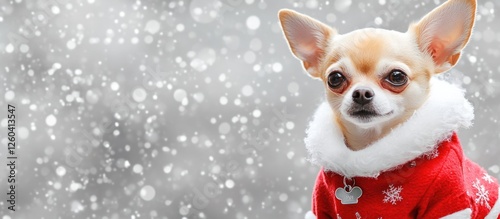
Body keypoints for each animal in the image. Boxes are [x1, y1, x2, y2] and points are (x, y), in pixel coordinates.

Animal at [280, 0, 498, 218]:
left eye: (397, 76)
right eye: (335, 78)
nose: (361, 93)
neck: (367, 154)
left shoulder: (448, 198)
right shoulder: (322, 206)